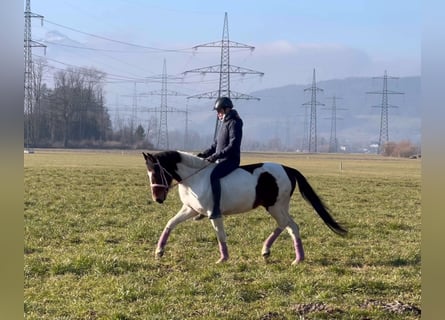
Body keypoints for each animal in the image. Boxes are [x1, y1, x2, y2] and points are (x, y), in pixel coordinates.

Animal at [142, 150, 346, 264]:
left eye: (156, 172)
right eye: (149, 173)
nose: (157, 199)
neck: (194, 178)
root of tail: (288, 169)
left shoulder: (213, 213)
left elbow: (220, 235)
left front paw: (223, 259)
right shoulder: (190, 210)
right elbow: (170, 223)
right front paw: (159, 251)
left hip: (275, 206)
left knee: (288, 226)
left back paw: (289, 257)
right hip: (278, 207)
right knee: (289, 226)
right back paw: (279, 254)